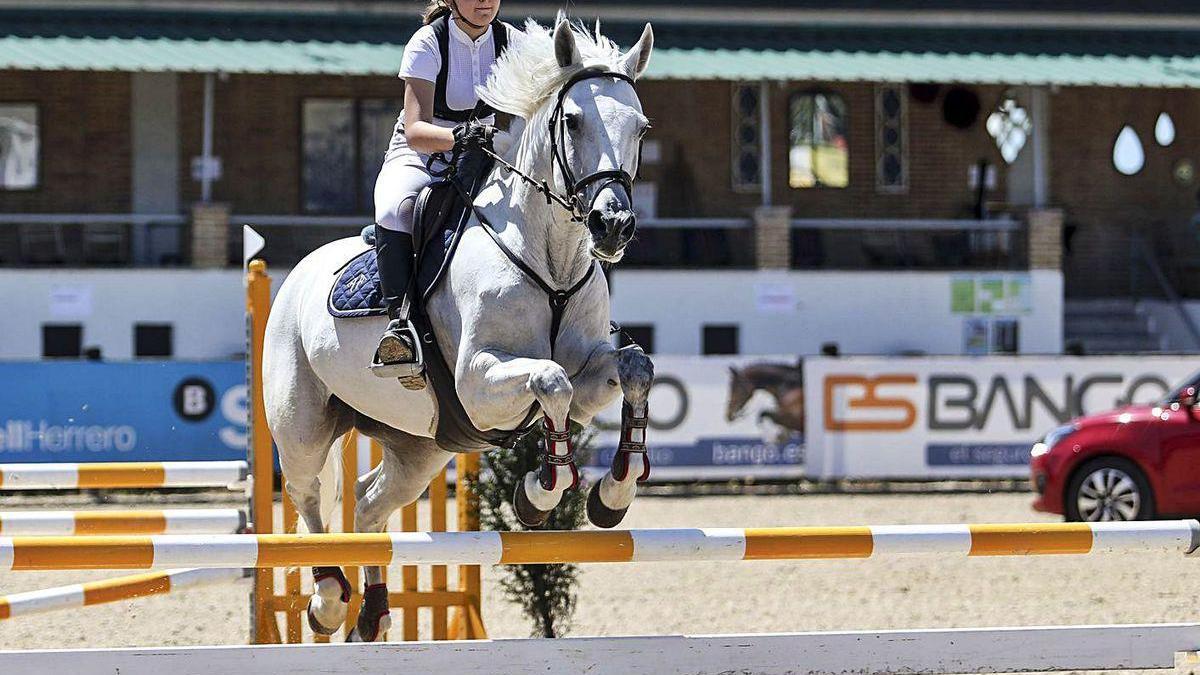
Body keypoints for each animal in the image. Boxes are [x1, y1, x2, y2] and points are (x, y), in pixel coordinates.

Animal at [262, 18, 657, 638]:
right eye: (573, 121)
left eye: (641, 128)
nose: (612, 225)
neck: (551, 258)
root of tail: (296, 274)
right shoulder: (478, 381)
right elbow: (551, 381)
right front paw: (540, 492)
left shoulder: (589, 370)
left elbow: (632, 367)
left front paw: (613, 491)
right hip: (301, 424)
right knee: (306, 498)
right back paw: (328, 598)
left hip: (421, 446)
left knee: (369, 504)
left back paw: (372, 613)